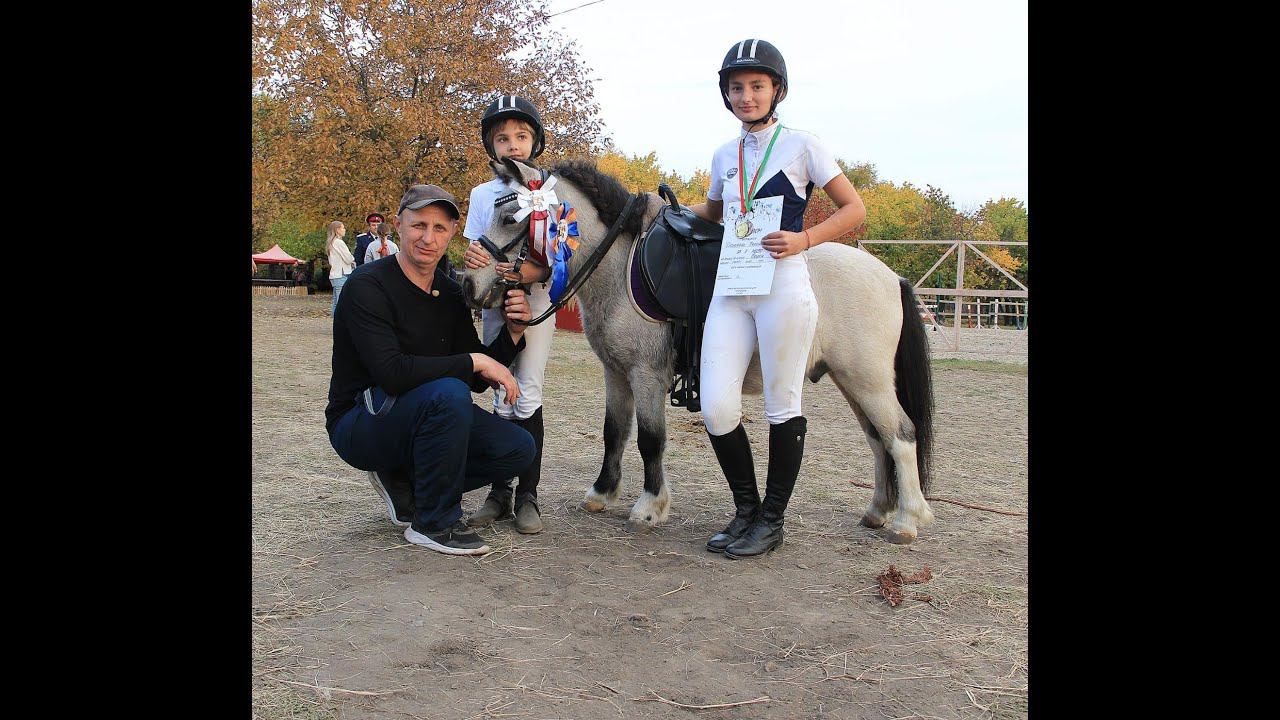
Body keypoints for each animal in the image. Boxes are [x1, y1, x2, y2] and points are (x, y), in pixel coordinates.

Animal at [462, 157, 937, 544]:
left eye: (510, 216)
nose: (469, 283)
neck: (621, 266)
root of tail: (891, 277)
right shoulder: (615, 372)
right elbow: (614, 433)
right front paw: (601, 492)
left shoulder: (646, 375)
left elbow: (650, 439)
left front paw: (650, 506)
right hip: (852, 381)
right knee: (878, 439)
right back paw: (878, 511)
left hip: (867, 380)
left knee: (901, 434)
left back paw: (907, 520)